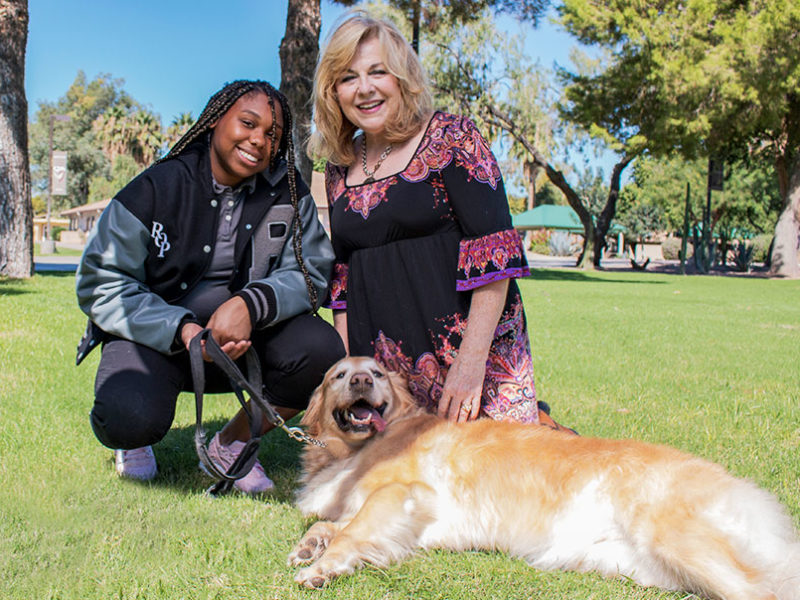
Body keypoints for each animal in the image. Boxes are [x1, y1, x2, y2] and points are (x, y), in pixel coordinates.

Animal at [290, 358, 800, 596]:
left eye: (376, 372)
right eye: (339, 375)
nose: (360, 381)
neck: (355, 449)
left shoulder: (403, 493)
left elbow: (349, 532)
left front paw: (321, 567)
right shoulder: (399, 518)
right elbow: (331, 523)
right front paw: (310, 546)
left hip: (679, 539)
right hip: (644, 565)